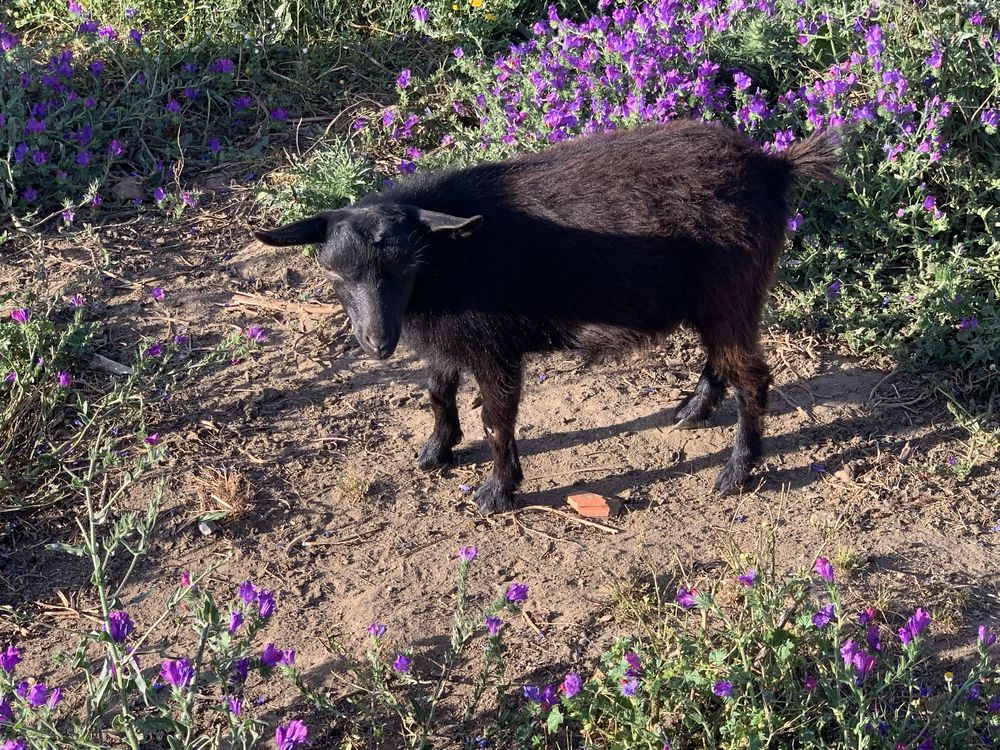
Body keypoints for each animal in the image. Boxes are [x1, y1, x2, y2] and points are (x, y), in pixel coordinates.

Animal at [254, 120, 840, 516]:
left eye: (407, 265)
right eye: (334, 271)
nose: (377, 343)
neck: (449, 259)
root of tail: (774, 167)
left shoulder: (494, 348)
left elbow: (497, 420)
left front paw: (496, 491)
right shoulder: (449, 339)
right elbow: (439, 391)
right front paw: (435, 452)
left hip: (732, 294)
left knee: (753, 378)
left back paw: (736, 471)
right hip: (718, 303)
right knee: (722, 362)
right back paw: (691, 412)